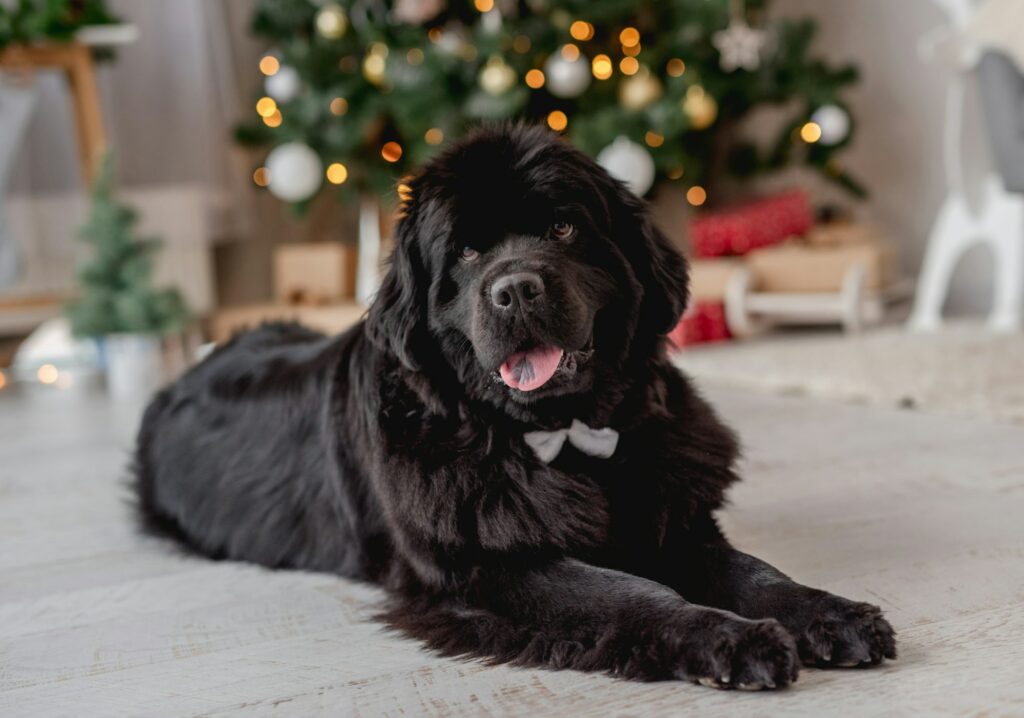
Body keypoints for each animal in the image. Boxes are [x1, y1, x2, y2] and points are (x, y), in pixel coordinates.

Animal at [138, 123, 897, 688]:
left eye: (562, 229)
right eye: (468, 252)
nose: (516, 289)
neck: (563, 435)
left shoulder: (674, 518)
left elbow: (754, 571)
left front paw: (833, 614)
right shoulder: (487, 570)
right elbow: (629, 594)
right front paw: (729, 642)